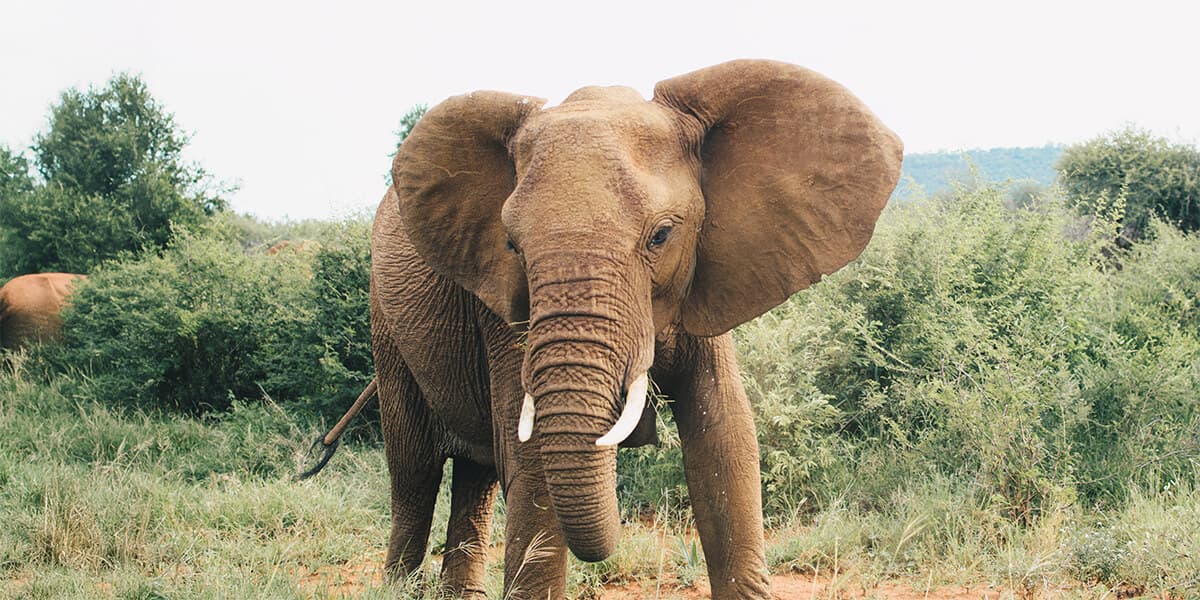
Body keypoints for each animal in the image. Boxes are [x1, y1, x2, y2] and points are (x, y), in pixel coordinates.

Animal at [369, 59, 902, 598]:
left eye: (661, 236)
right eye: (513, 246)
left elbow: (724, 434)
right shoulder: (503, 303)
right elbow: (530, 456)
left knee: (474, 474)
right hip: (385, 328)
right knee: (414, 471)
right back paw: (397, 583)